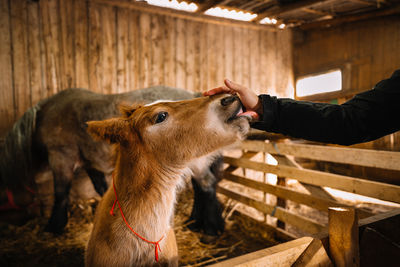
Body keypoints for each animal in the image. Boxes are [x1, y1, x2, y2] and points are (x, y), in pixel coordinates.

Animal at [0, 87, 225, 236]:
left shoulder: (61, 158)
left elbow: (61, 193)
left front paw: (53, 226)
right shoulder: (90, 163)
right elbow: (102, 189)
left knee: (206, 184)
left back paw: (211, 229)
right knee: (200, 187)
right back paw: (195, 222)